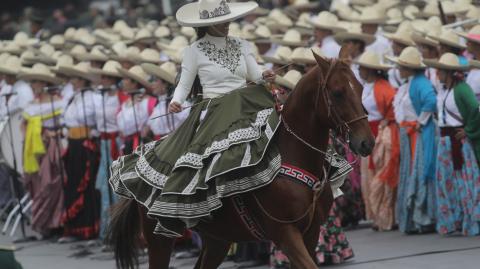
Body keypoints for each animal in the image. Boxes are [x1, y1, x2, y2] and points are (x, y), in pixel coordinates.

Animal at [107, 47, 374, 266]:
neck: (293, 157)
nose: (366, 142)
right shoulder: (285, 234)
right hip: (159, 240)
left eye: (360, 88)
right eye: (338, 93)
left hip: (217, 239)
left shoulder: (311, 231)